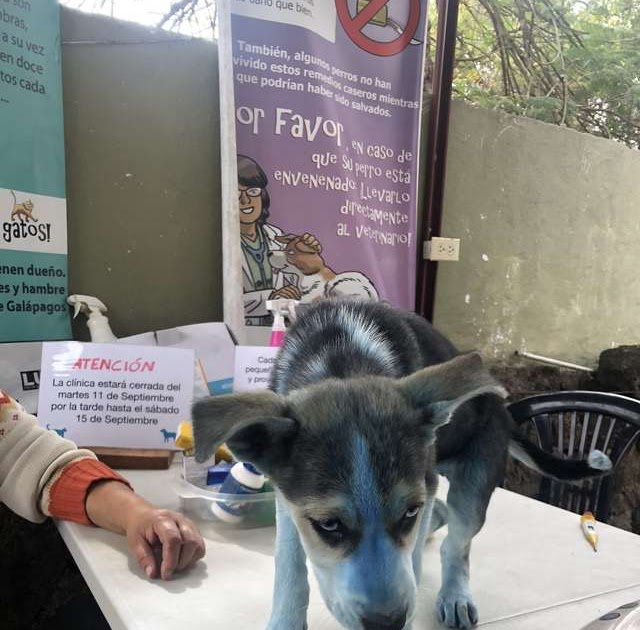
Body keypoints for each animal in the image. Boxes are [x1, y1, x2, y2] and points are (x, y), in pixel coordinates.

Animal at [194, 302, 608, 630]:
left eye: (407, 512)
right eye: (328, 525)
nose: (387, 624)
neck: (342, 360)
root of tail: (502, 407)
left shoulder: (421, 490)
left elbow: (415, 559)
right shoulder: (288, 499)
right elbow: (290, 567)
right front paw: (285, 622)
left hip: (471, 484)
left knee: (456, 543)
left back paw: (454, 595)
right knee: (440, 517)